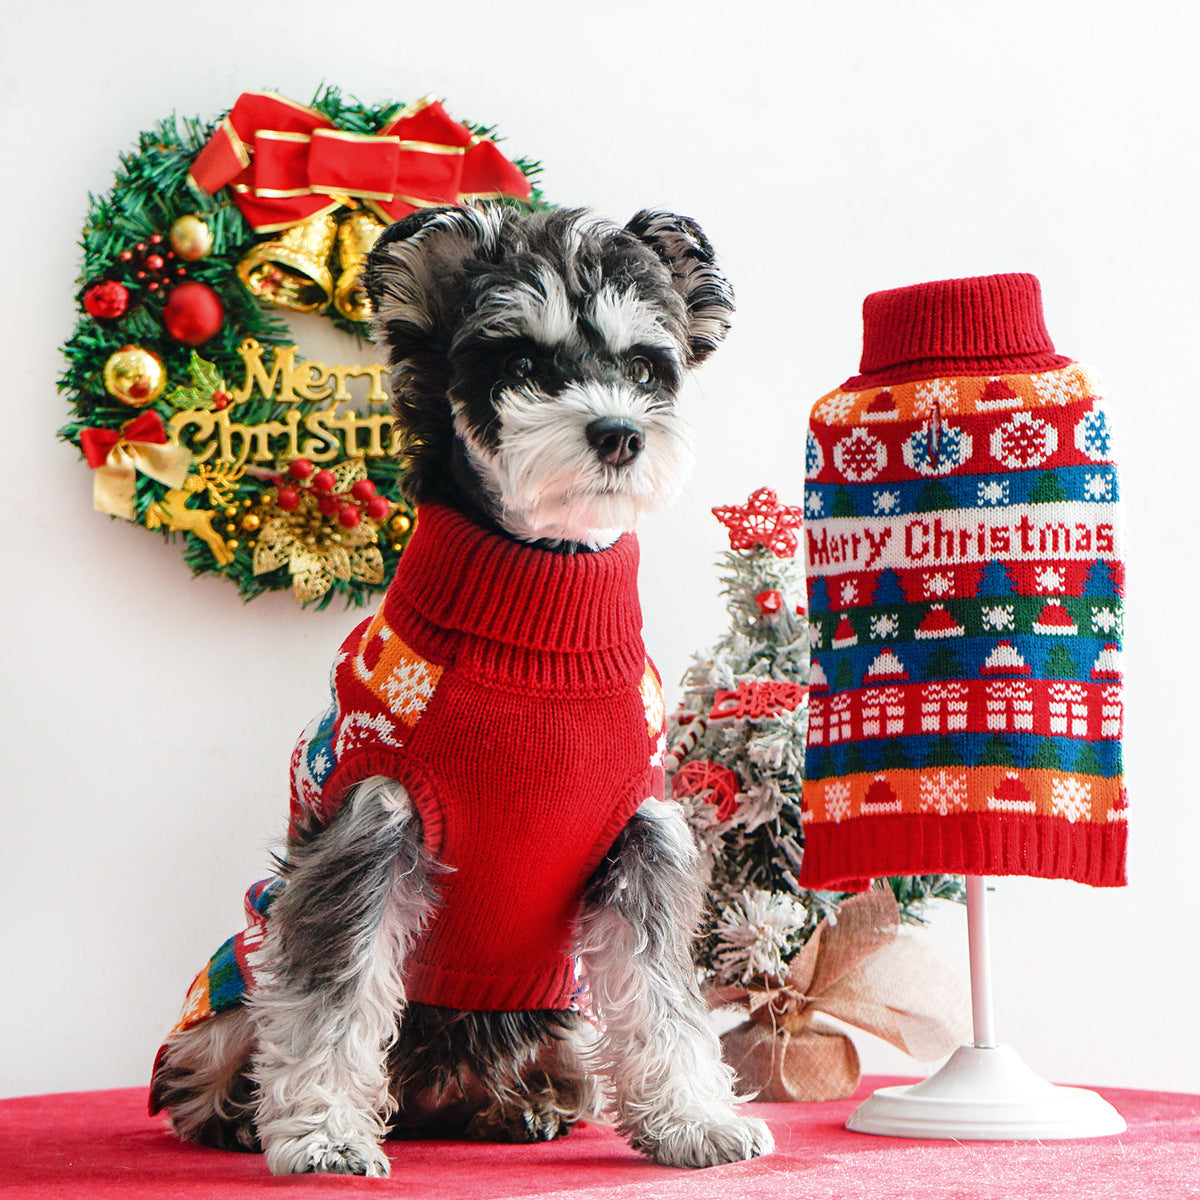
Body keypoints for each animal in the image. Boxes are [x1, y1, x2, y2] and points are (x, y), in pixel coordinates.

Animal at [150, 204, 772, 1171]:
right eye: (518, 364)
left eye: (645, 368)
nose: (618, 433)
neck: (537, 626)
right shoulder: (369, 825)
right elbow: (331, 999)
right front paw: (323, 1135)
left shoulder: (645, 834)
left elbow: (663, 996)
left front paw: (694, 1119)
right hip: (237, 969)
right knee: (226, 1051)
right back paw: (245, 1117)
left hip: (556, 1011)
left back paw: (519, 1107)